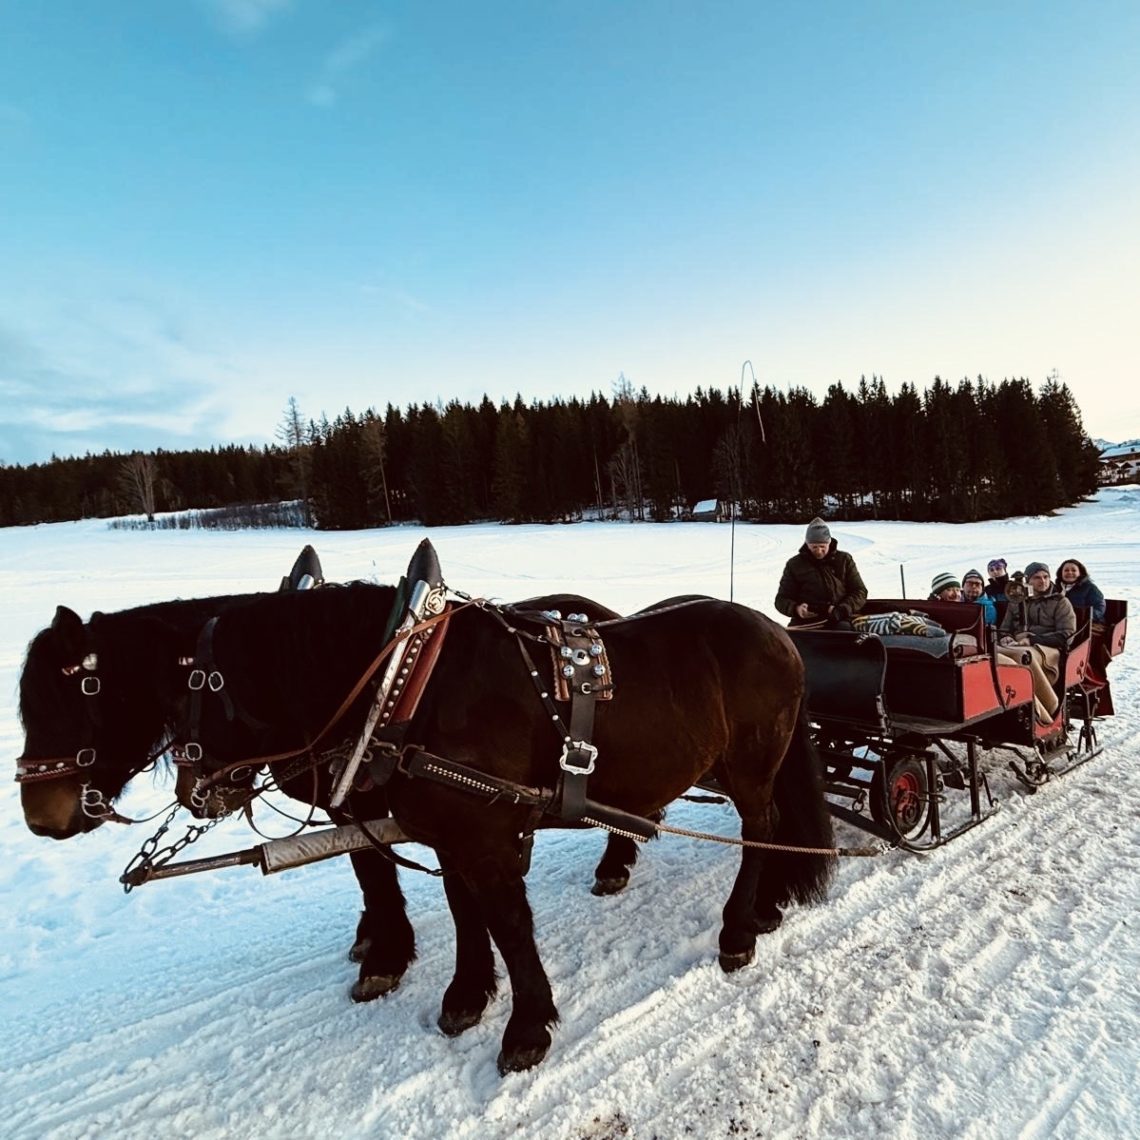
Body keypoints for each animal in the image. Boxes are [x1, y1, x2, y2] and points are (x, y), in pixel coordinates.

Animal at [168, 579, 834, 1076]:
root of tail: (779, 634)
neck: (411, 685)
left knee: (760, 830)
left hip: (751, 767)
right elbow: (466, 913)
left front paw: (527, 1028)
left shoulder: (485, 836)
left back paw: (738, 929)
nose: (190, 790)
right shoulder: (449, 833)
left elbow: (509, 926)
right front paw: (465, 995)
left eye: (204, 686)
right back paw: (766, 906)